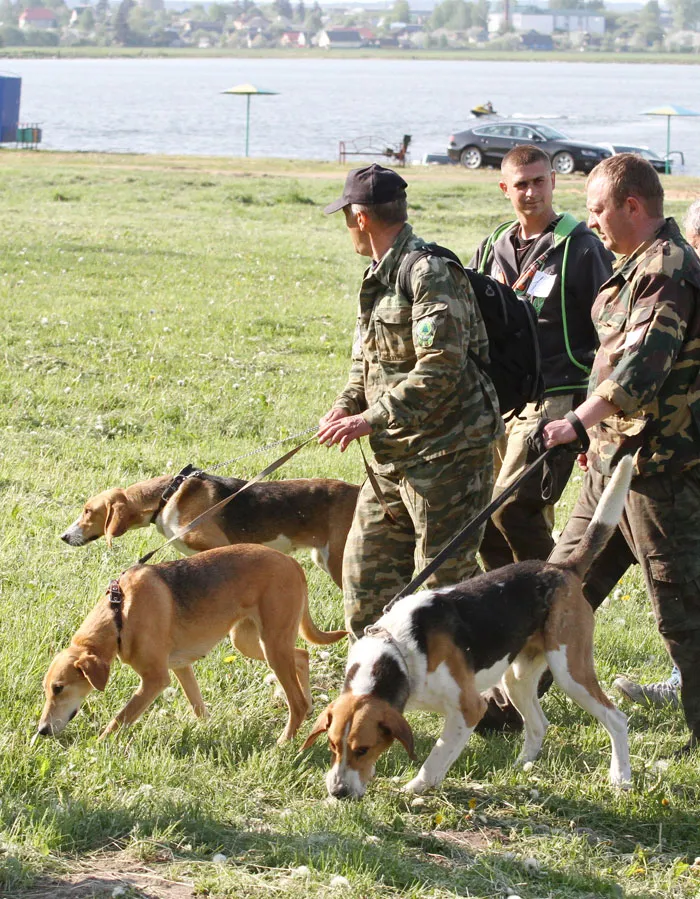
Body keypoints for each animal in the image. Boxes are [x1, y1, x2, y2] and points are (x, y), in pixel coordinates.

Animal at [36, 544, 348, 740]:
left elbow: (119, 719)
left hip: (271, 647)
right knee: (302, 655)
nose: (41, 731)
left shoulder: (155, 680)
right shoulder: (181, 667)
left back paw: (283, 743)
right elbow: (199, 707)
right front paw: (209, 730)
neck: (119, 612)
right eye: (47, 689)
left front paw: (99, 746)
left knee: (295, 701)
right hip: (251, 641)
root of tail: (294, 564)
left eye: (59, 688)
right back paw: (309, 707)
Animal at [60, 472, 358, 592]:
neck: (167, 497)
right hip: (323, 558)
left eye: (88, 511)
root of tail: (358, 488)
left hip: (338, 562)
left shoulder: (216, 546)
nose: (63, 536)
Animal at [304, 458, 636, 796]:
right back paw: (522, 767)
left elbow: (436, 757)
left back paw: (621, 777)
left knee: (616, 719)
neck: (399, 651)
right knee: (538, 724)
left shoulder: (468, 709)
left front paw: (415, 788)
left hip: (570, 672)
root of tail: (561, 568)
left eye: (363, 749)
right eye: (332, 746)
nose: (338, 792)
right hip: (516, 677)